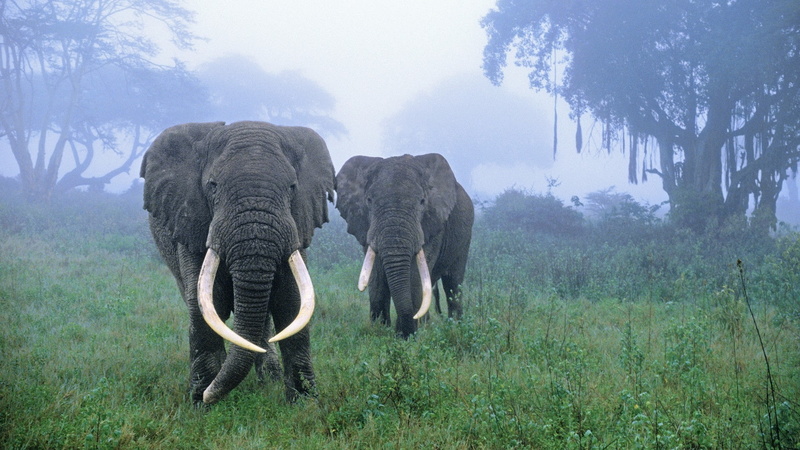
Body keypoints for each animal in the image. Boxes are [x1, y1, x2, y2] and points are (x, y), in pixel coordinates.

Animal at [140, 121, 335, 404]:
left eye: (292, 187)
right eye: (212, 185)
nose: (207, 396)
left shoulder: (298, 225)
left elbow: (293, 302)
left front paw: (306, 403)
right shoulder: (192, 223)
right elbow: (206, 303)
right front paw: (201, 403)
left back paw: (269, 378)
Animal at [335, 153, 474, 338]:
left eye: (422, 201)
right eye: (369, 200)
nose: (404, 332)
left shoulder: (432, 223)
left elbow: (415, 275)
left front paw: (406, 338)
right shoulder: (365, 226)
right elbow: (376, 276)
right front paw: (379, 332)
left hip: (464, 236)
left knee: (453, 283)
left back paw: (455, 327)